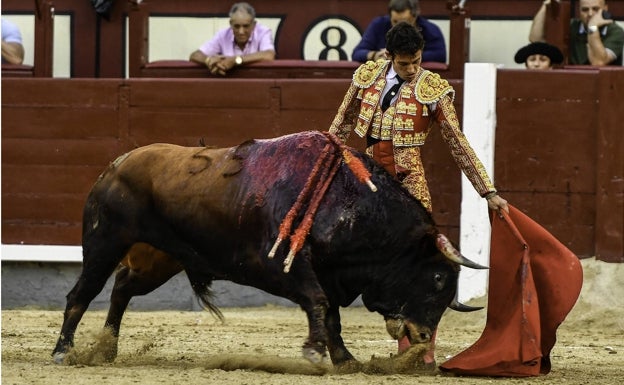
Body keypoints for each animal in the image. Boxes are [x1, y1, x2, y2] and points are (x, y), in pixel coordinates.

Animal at [51, 130, 486, 364]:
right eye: (436, 279)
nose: (423, 336)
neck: (347, 201)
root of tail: (116, 164)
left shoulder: (328, 273)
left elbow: (331, 315)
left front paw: (344, 359)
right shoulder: (283, 267)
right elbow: (319, 304)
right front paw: (316, 353)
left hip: (159, 259)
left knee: (123, 286)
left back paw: (106, 349)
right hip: (104, 243)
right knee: (80, 294)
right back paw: (63, 351)